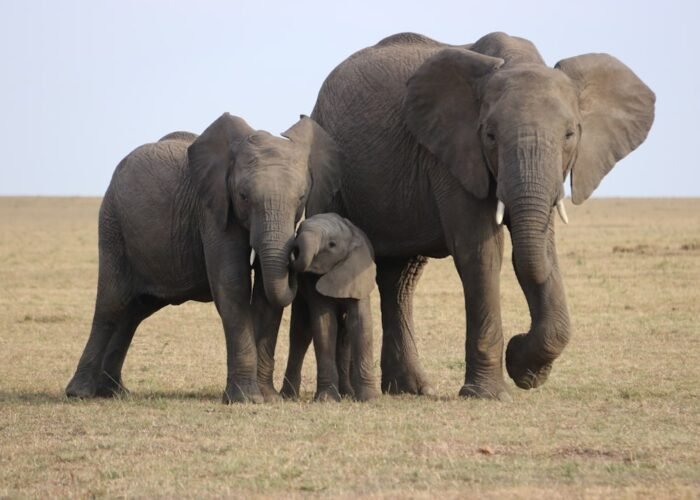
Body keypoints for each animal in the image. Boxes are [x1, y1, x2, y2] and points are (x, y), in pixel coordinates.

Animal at [65, 113, 342, 403]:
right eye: (243, 197)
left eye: (301, 197)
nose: (297, 253)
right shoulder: (212, 209)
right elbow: (232, 284)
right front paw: (246, 399)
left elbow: (266, 293)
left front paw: (268, 398)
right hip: (112, 223)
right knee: (112, 303)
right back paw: (80, 393)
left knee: (133, 311)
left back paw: (114, 392)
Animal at [279, 213, 380, 402]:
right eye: (299, 230)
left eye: (332, 244)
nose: (294, 249)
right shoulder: (311, 281)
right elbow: (324, 326)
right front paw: (326, 400)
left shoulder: (358, 273)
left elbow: (360, 324)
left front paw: (369, 398)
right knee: (300, 333)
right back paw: (288, 396)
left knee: (344, 335)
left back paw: (347, 393)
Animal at [306, 32, 655, 399]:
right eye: (489, 135)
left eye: (570, 134)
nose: (517, 346)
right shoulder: (452, 156)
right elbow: (481, 252)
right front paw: (490, 392)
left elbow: (542, 249)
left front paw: (526, 371)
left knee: (400, 278)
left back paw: (411, 389)